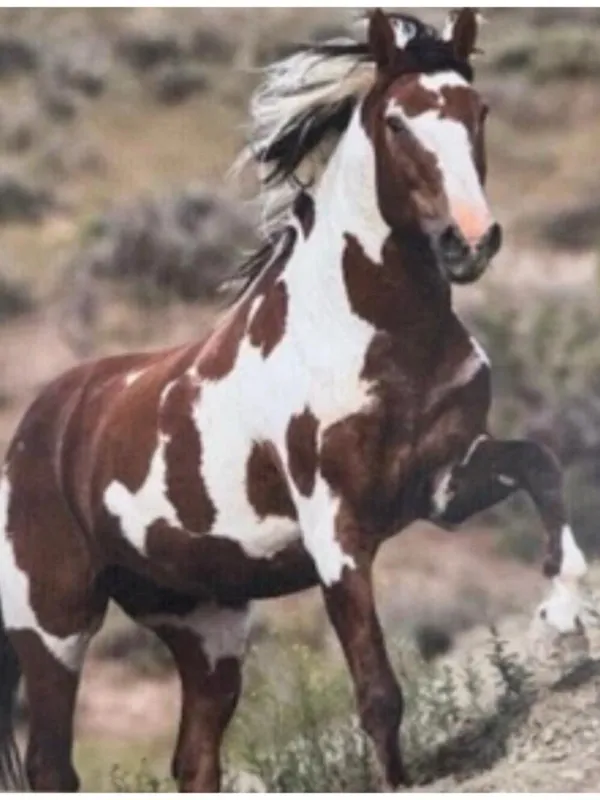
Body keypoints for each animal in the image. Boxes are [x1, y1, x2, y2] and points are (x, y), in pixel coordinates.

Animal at [0, 8, 595, 792]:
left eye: (480, 111)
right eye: (397, 122)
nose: (468, 242)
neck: (373, 331)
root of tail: (34, 429)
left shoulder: (443, 482)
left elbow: (541, 465)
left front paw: (562, 610)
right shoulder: (336, 532)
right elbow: (378, 695)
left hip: (205, 627)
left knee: (194, 759)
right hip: (53, 623)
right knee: (51, 763)